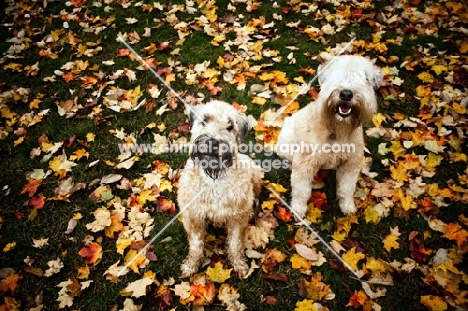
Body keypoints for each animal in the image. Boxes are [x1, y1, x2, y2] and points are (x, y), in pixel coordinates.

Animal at [177, 101, 264, 280]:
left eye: (230, 126)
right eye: (205, 120)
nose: (213, 142)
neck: (214, 180)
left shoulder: (238, 218)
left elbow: (235, 243)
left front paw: (239, 265)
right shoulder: (193, 216)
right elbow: (196, 245)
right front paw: (191, 266)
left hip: (256, 174)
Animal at [276, 54, 382, 218]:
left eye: (364, 78)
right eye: (335, 75)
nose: (346, 94)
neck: (337, 130)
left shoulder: (351, 163)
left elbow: (346, 188)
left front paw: (347, 206)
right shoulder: (304, 163)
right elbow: (301, 190)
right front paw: (298, 209)